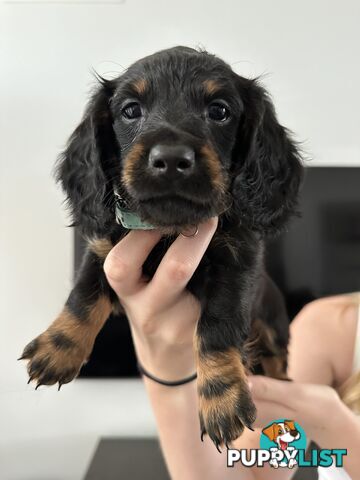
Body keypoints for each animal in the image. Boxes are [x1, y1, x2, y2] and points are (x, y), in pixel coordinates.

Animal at [20, 46, 304, 450]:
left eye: (219, 110)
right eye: (131, 110)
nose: (170, 160)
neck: (169, 229)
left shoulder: (237, 262)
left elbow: (217, 327)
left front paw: (222, 398)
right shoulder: (104, 248)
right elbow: (82, 296)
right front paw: (57, 348)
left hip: (275, 323)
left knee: (279, 358)